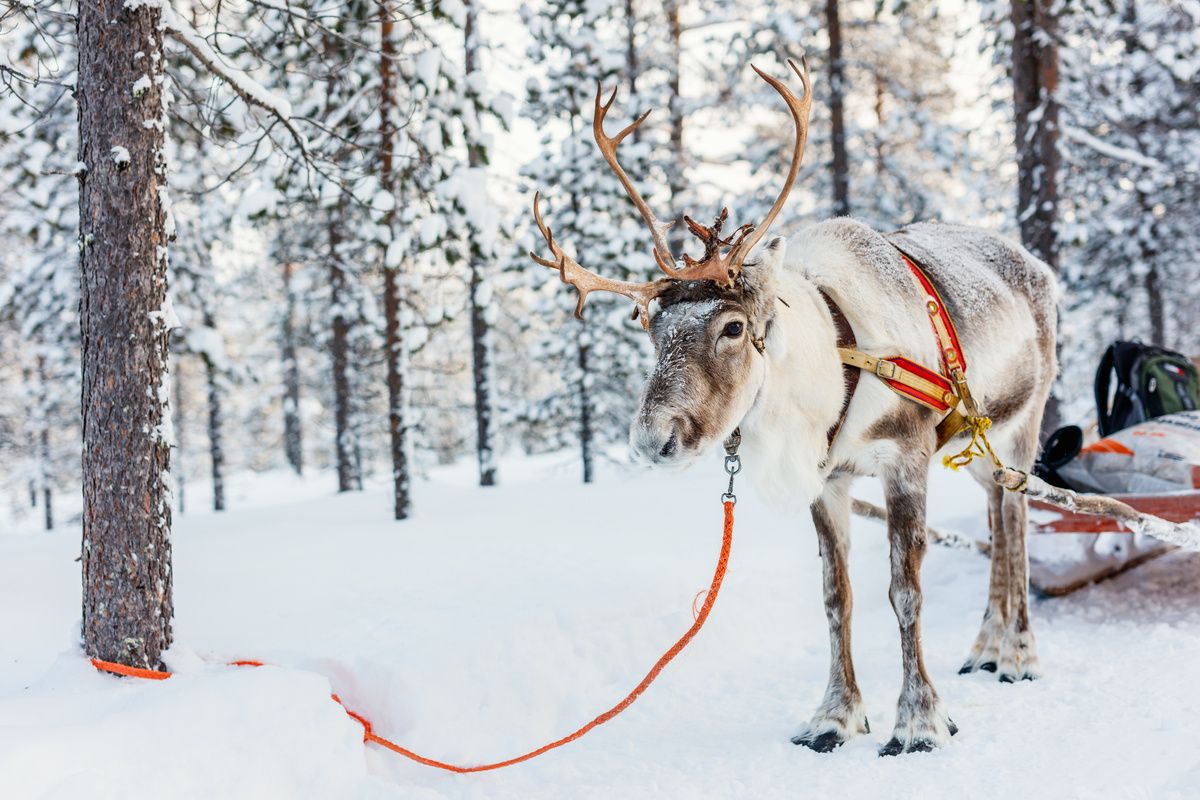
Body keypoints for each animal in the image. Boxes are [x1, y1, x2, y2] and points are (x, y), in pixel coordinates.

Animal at [529, 57, 1058, 756]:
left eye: (731, 326)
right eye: (650, 326)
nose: (652, 440)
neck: (836, 368)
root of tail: (1039, 267)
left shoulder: (906, 457)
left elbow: (905, 591)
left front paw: (919, 722)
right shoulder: (826, 479)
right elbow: (836, 596)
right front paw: (834, 717)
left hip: (1024, 423)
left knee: (1019, 522)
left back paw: (1019, 656)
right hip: (973, 445)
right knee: (997, 516)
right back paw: (985, 648)